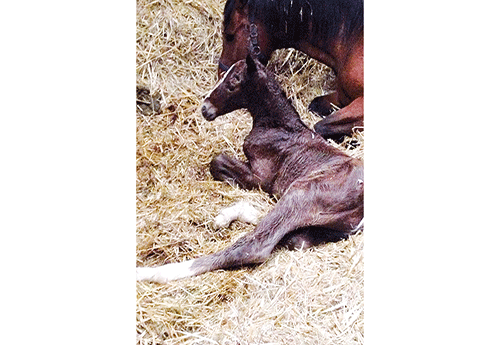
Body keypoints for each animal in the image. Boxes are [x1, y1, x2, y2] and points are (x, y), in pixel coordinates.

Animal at [137, 55, 364, 282]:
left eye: (233, 82)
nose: (205, 108)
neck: (279, 127)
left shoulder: (263, 177)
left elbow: (217, 161)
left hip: (305, 191)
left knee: (256, 245)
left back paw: (152, 272)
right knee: (293, 236)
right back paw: (227, 216)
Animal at [219, 0, 364, 141]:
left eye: (229, 36)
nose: (222, 75)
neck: (352, 41)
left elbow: (321, 126)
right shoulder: (343, 96)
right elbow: (315, 105)